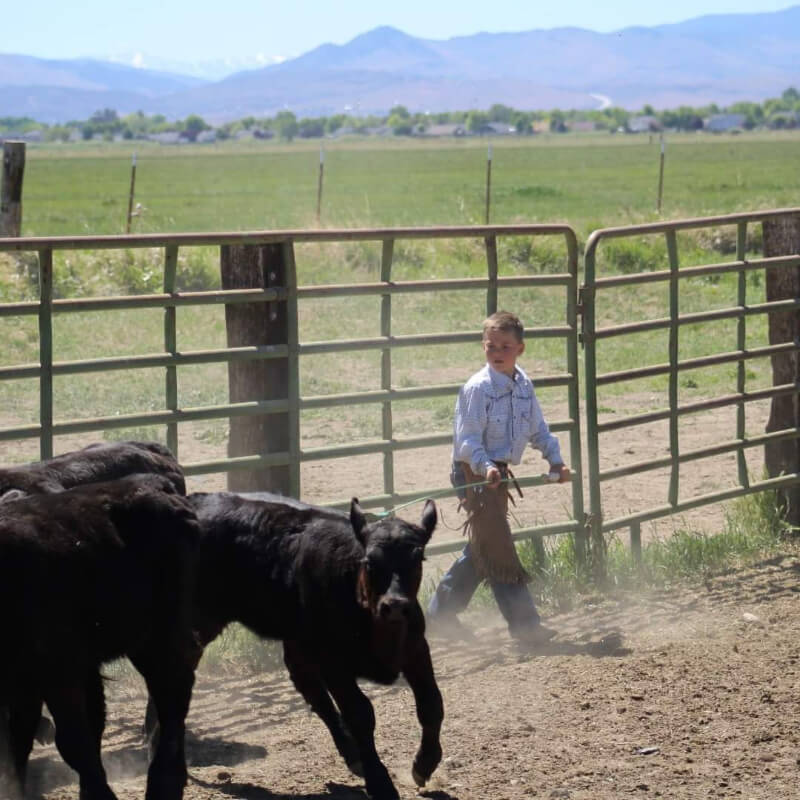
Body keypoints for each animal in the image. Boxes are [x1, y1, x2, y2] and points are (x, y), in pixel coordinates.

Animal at [0, 476, 199, 800]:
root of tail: (155, 485)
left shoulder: (57, 670)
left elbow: (72, 740)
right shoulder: (27, 682)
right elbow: (18, 742)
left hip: (158, 635)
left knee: (172, 690)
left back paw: (164, 782)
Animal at [147, 490, 440, 800]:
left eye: (418, 558)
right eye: (370, 562)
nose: (394, 606)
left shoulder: (416, 650)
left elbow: (431, 703)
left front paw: (424, 764)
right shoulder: (333, 663)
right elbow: (360, 715)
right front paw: (381, 782)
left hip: (294, 643)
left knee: (312, 692)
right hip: (194, 628)